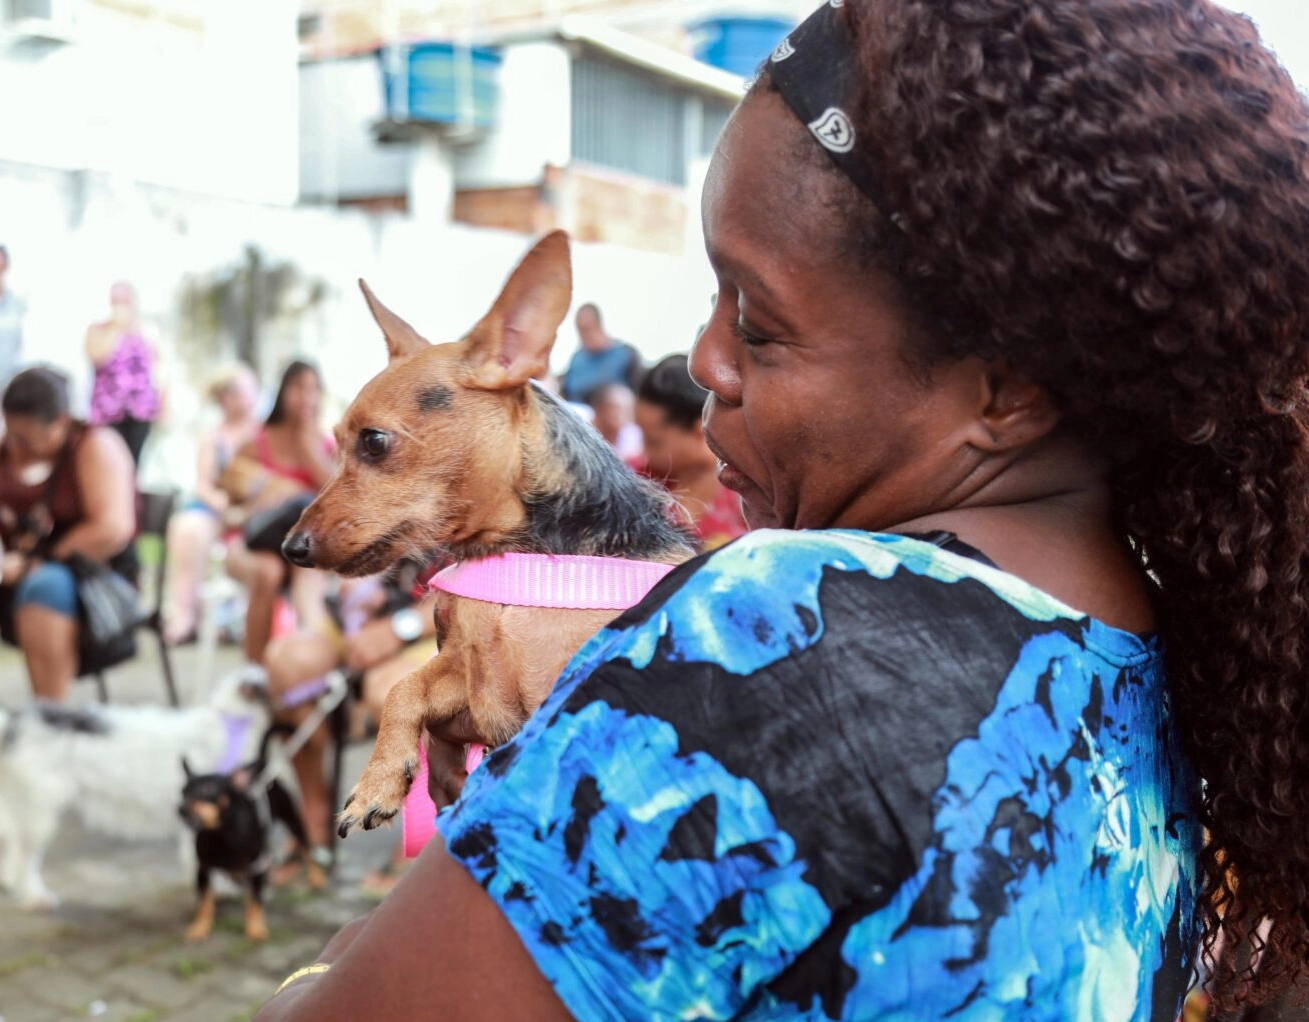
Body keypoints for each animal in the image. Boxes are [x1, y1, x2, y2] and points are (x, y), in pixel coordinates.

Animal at [0, 675, 269, 910]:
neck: (231, 722)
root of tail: (13, 724)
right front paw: (221, 891)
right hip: (38, 814)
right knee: (26, 858)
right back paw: (35, 896)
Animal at [176, 758, 319, 942]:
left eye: (207, 789)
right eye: (183, 792)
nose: (181, 808)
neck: (220, 834)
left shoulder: (257, 867)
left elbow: (254, 902)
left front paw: (255, 928)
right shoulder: (203, 870)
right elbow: (204, 902)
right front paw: (200, 927)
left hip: (293, 822)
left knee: (307, 850)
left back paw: (317, 878)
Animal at [282, 232, 701, 837]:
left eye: (374, 441)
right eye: (334, 441)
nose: (290, 548)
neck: (517, 560)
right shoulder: (472, 690)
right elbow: (403, 688)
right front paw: (379, 779)